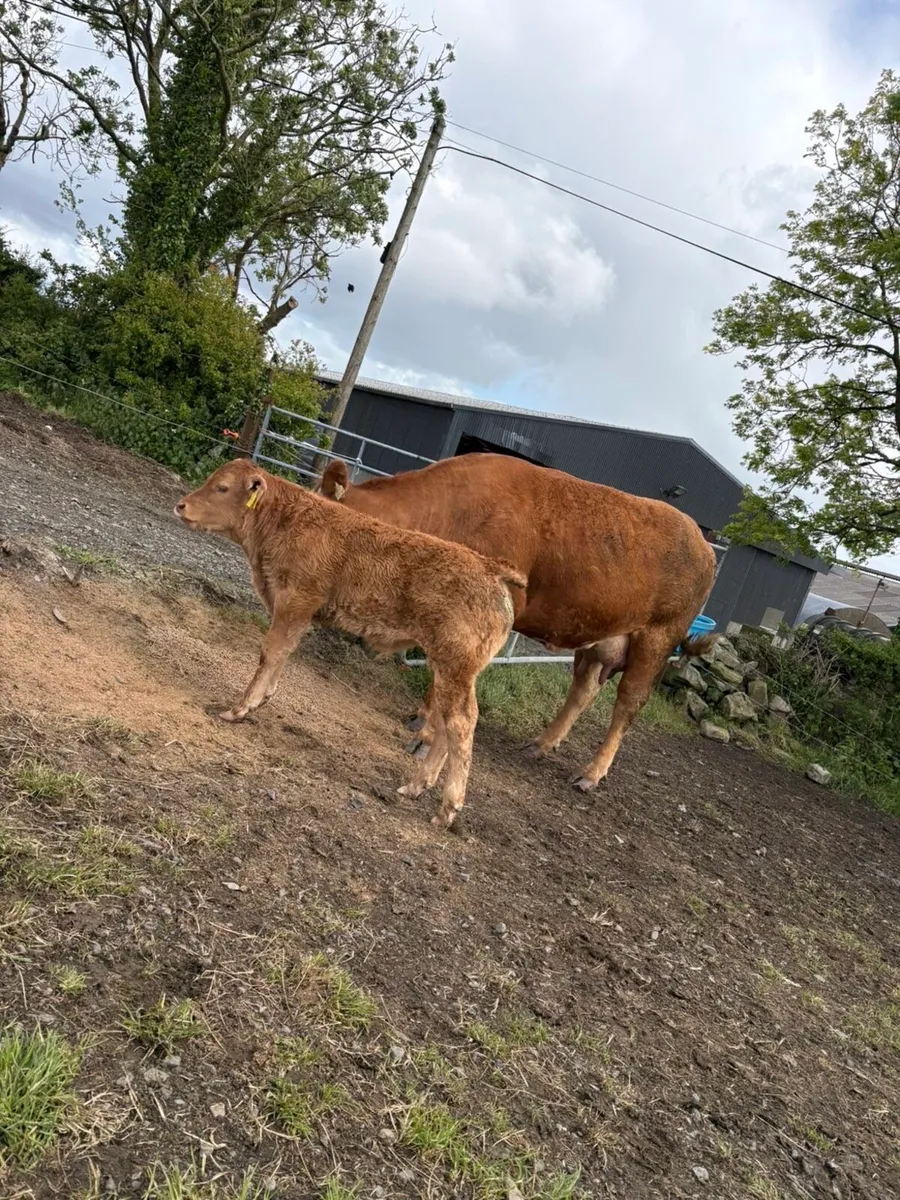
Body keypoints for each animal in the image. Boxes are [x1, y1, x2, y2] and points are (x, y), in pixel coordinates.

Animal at [174, 458, 527, 828]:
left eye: (223, 487)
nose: (181, 505)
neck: (288, 519)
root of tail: (489, 567)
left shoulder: (295, 602)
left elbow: (270, 651)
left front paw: (240, 708)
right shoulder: (295, 612)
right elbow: (281, 654)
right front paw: (263, 698)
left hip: (456, 668)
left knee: (460, 723)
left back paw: (447, 808)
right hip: (448, 671)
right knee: (446, 723)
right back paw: (415, 786)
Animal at [318, 454, 718, 791]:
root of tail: (702, 543)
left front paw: (427, 736)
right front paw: (421, 719)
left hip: (657, 638)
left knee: (628, 702)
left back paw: (591, 773)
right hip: (600, 636)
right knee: (583, 688)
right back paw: (540, 744)